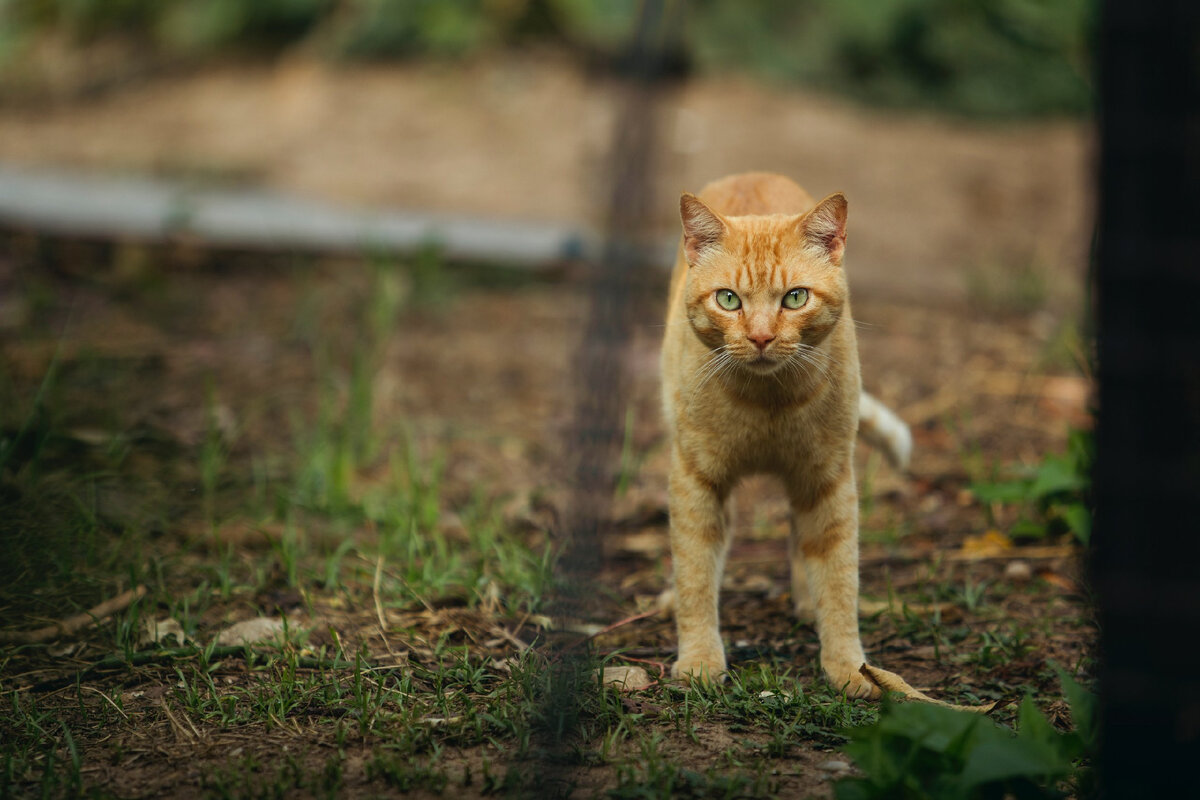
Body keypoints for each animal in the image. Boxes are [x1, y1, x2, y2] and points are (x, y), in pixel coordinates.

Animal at [657, 172, 907, 695]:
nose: (760, 337)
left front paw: (848, 665)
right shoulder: (695, 480)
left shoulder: (828, 480)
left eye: (795, 297)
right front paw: (699, 658)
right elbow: (695, 571)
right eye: (728, 299)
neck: (766, 401)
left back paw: (805, 601)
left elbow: (839, 578)